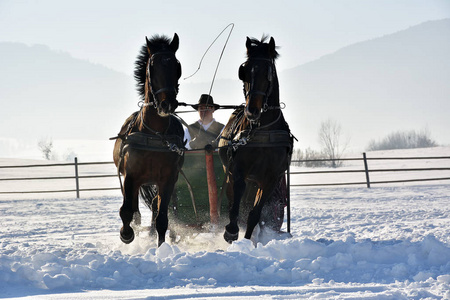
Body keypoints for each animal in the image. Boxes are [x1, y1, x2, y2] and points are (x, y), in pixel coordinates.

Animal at [112, 34, 185, 247]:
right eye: (152, 66)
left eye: (177, 65)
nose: (167, 104)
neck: (155, 134)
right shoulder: (131, 177)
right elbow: (127, 211)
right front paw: (126, 234)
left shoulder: (168, 179)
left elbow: (162, 218)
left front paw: (161, 247)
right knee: (134, 209)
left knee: (155, 206)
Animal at [219, 35, 296, 244]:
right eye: (244, 71)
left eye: (267, 72)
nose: (251, 111)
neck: (262, 128)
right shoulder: (238, 171)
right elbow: (235, 207)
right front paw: (231, 231)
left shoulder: (271, 179)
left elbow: (254, 214)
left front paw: (247, 241)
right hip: (230, 173)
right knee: (231, 199)